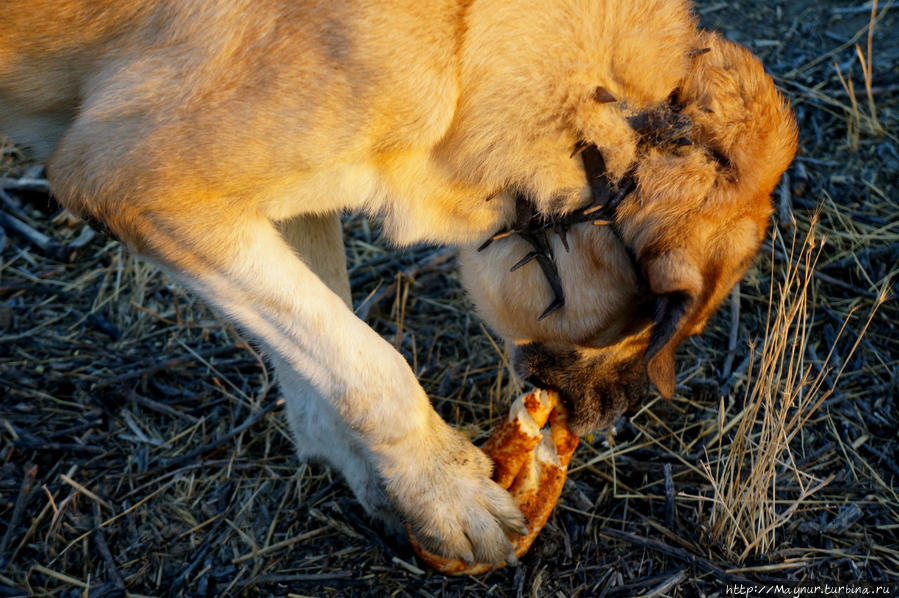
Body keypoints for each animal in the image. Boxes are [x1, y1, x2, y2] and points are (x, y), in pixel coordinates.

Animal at [1, 0, 800, 568]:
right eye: (640, 327)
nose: (606, 422)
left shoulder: (286, 203)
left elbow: (321, 347)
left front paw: (385, 489)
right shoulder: (132, 183)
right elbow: (369, 365)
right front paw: (447, 493)